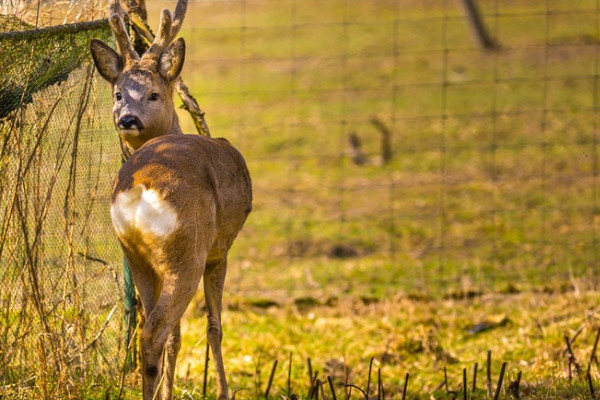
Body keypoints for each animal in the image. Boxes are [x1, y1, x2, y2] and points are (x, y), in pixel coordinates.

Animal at [91, 1, 253, 398]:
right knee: (154, 331)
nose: (127, 119)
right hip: (187, 251)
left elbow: (179, 335)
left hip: (137, 256)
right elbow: (213, 326)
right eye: (118, 94)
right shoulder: (219, 249)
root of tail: (139, 187)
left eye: (153, 94)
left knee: (155, 327)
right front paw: (223, 390)